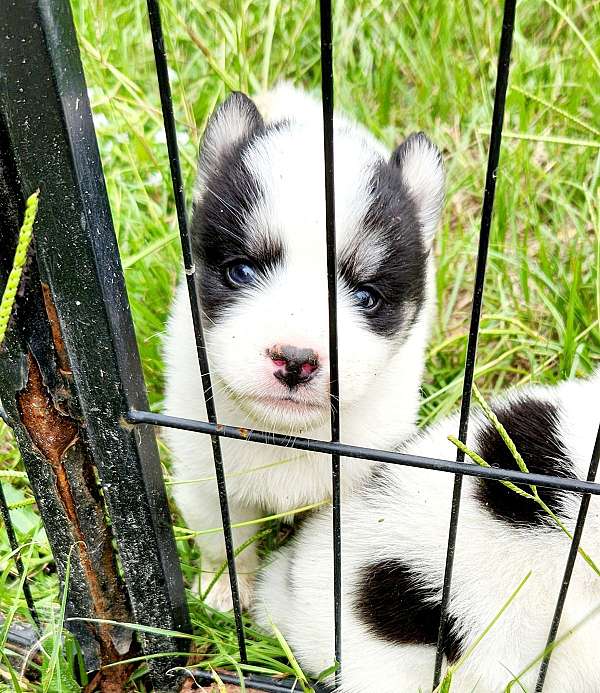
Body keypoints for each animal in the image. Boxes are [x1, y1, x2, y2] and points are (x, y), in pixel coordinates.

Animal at [164, 84, 446, 608]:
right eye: (240, 272)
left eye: (366, 296)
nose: (295, 361)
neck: (285, 436)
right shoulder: (206, 478)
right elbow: (225, 541)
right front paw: (225, 589)